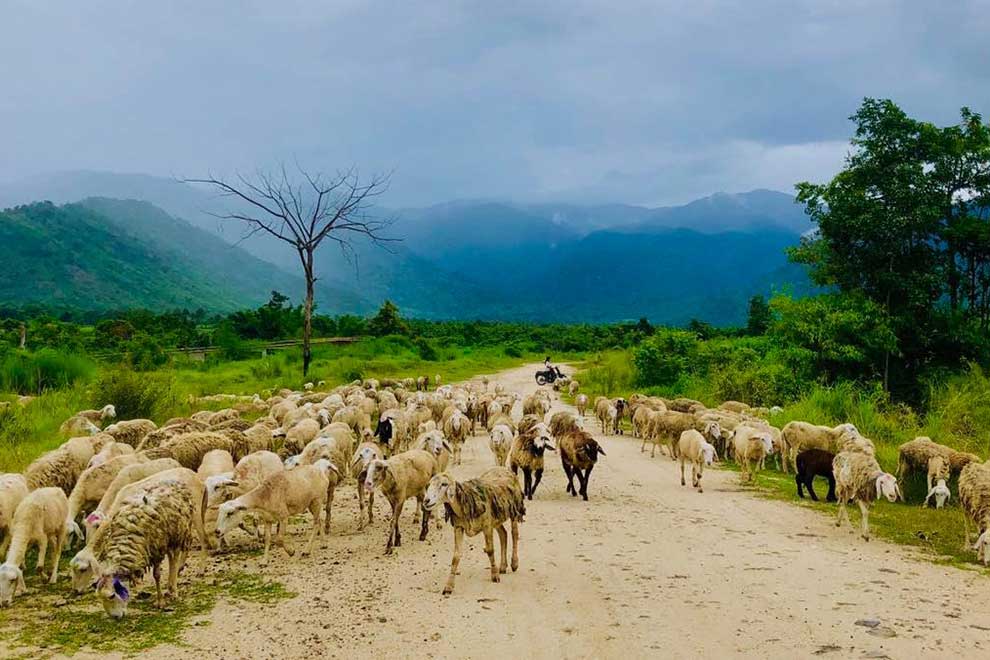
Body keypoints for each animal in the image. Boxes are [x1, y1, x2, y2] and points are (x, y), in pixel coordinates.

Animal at [91, 479, 195, 617]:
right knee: (172, 557)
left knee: (175, 559)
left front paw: (160, 602)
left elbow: (156, 575)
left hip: (177, 534)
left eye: (112, 595)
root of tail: (173, 481)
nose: (115, 617)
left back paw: (174, 592)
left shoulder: (156, 550)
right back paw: (169, 589)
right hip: (168, 539)